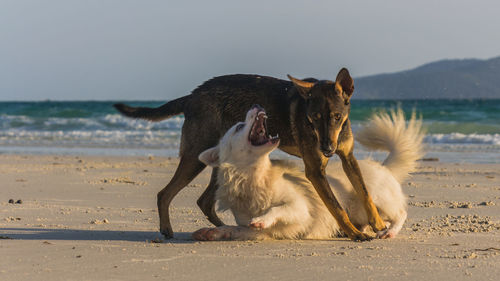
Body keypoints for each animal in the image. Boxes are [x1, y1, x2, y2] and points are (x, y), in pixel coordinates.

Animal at [114, 68, 386, 241]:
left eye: (337, 117)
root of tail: (192, 95)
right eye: (313, 119)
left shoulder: (349, 158)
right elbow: (337, 207)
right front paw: (355, 233)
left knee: (204, 201)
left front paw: (378, 224)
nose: (327, 149)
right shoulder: (315, 171)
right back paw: (168, 229)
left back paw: (224, 227)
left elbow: (365, 193)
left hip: (217, 161)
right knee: (165, 193)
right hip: (195, 156)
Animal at [191, 105, 422, 241]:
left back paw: (390, 231)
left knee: (401, 213)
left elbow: (278, 209)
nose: (256, 106)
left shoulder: (300, 207)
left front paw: (263, 217)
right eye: (239, 127)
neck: (254, 178)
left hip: (375, 199)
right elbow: (237, 228)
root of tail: (385, 166)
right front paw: (214, 231)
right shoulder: (250, 229)